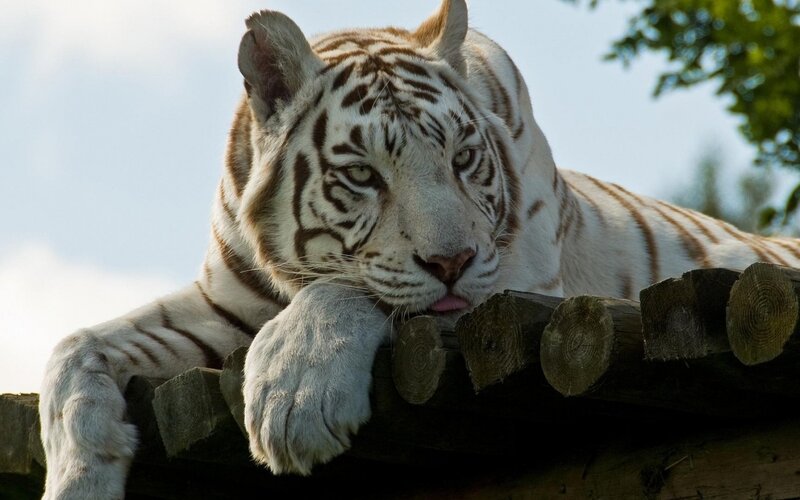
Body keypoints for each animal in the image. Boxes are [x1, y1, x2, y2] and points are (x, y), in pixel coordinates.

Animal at [39, 1, 800, 497]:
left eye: (463, 160)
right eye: (362, 175)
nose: (451, 263)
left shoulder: (514, 280)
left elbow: (352, 290)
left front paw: (294, 399)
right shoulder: (219, 305)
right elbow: (74, 347)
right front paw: (78, 477)